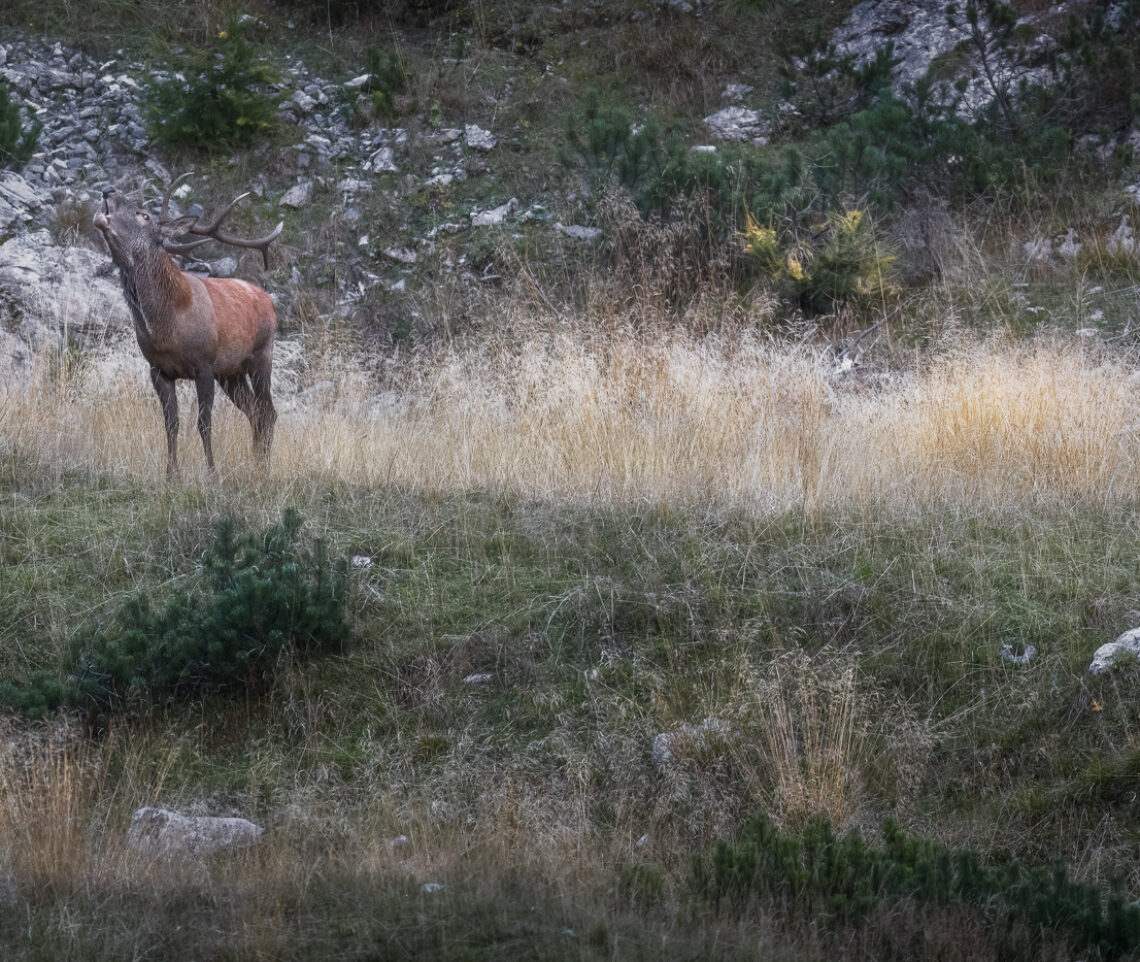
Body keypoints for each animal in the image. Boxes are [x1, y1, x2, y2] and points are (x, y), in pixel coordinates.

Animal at [93, 173, 285, 481]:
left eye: (143, 215)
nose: (108, 190)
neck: (167, 327)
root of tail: (267, 299)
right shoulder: (158, 369)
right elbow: (171, 424)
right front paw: (171, 475)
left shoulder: (204, 364)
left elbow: (204, 423)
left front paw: (212, 475)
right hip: (231, 373)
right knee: (255, 412)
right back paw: (255, 463)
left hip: (261, 355)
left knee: (268, 412)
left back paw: (263, 469)